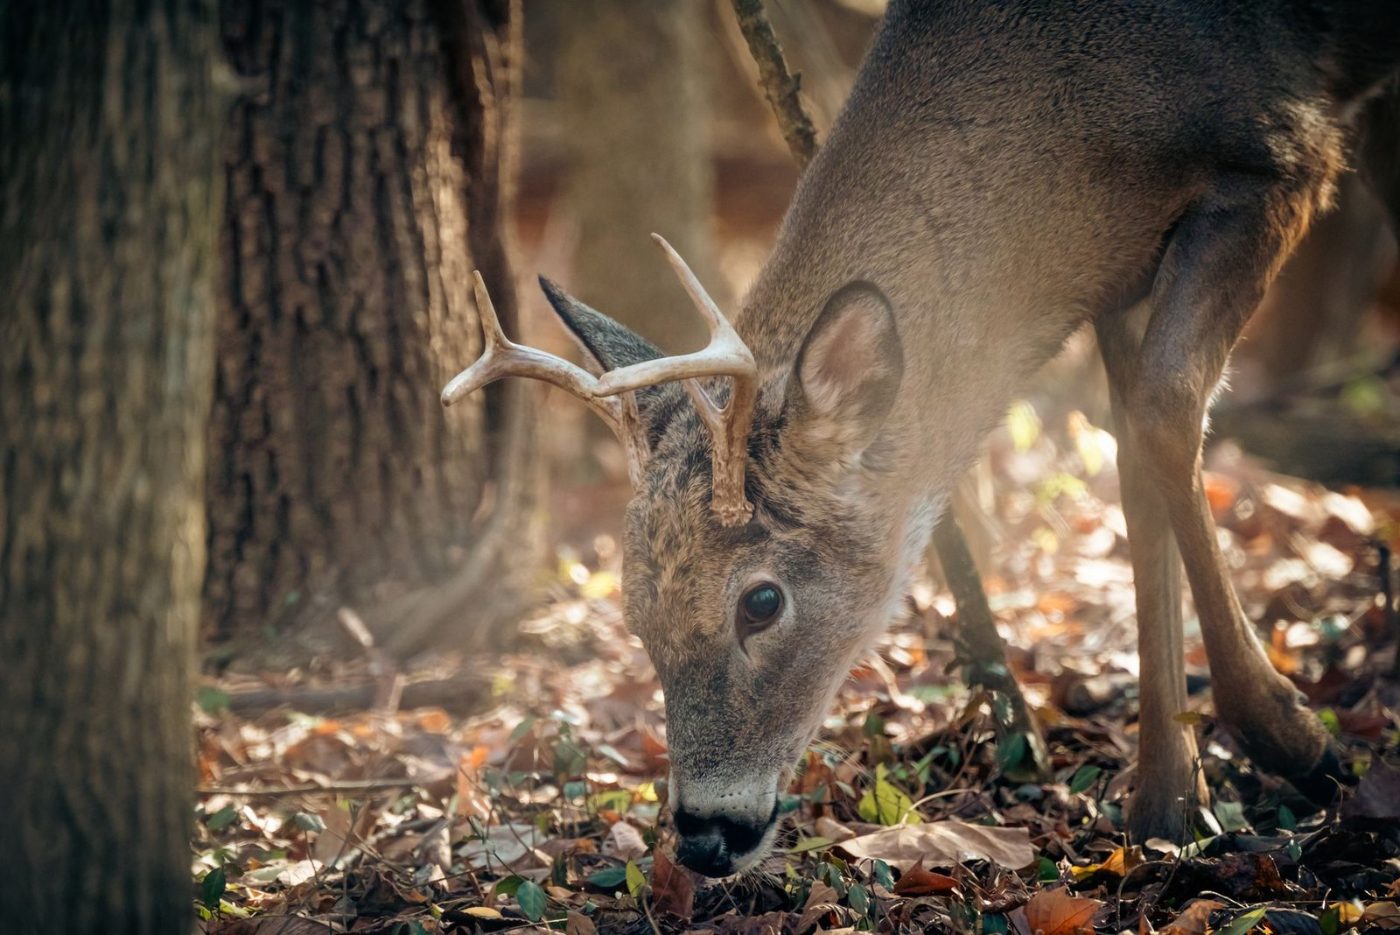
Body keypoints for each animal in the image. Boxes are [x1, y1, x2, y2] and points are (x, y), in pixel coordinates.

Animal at [444, 0, 1400, 877]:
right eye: (635, 613)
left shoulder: (1281, 155)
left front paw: (1293, 738)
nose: (707, 836)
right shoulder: (1122, 272)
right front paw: (1168, 801)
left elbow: (1164, 408)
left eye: (761, 600)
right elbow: (1133, 457)